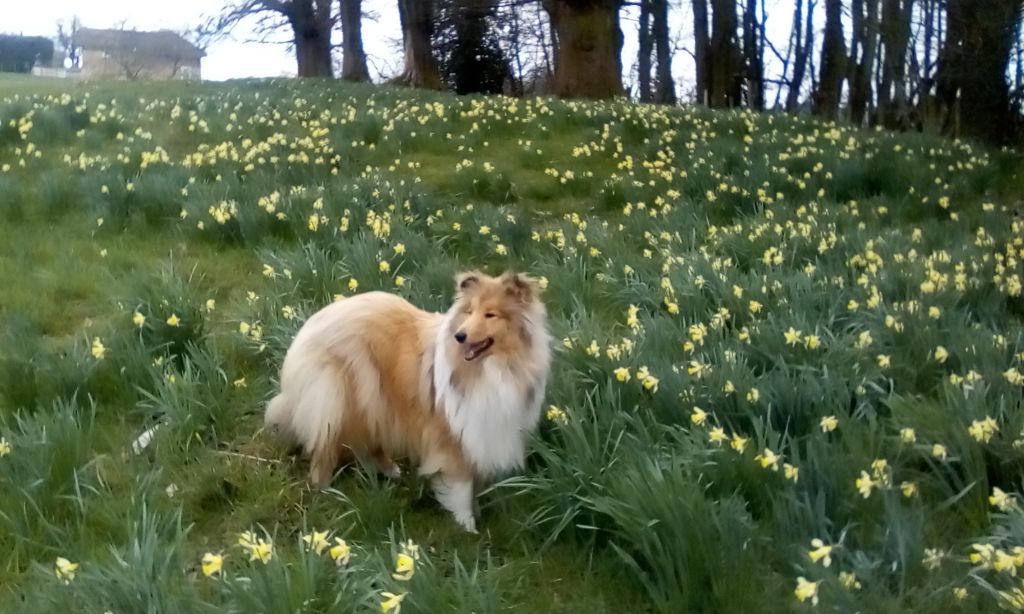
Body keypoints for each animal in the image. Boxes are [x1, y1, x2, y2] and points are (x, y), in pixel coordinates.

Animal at [264, 270, 552, 528]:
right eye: (469, 312)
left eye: (490, 314)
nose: (460, 336)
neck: (493, 368)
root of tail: (315, 320)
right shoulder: (451, 438)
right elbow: (461, 488)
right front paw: (467, 527)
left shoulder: (482, 432)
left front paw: (477, 513)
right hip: (342, 399)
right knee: (325, 447)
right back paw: (324, 489)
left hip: (374, 403)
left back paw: (390, 471)